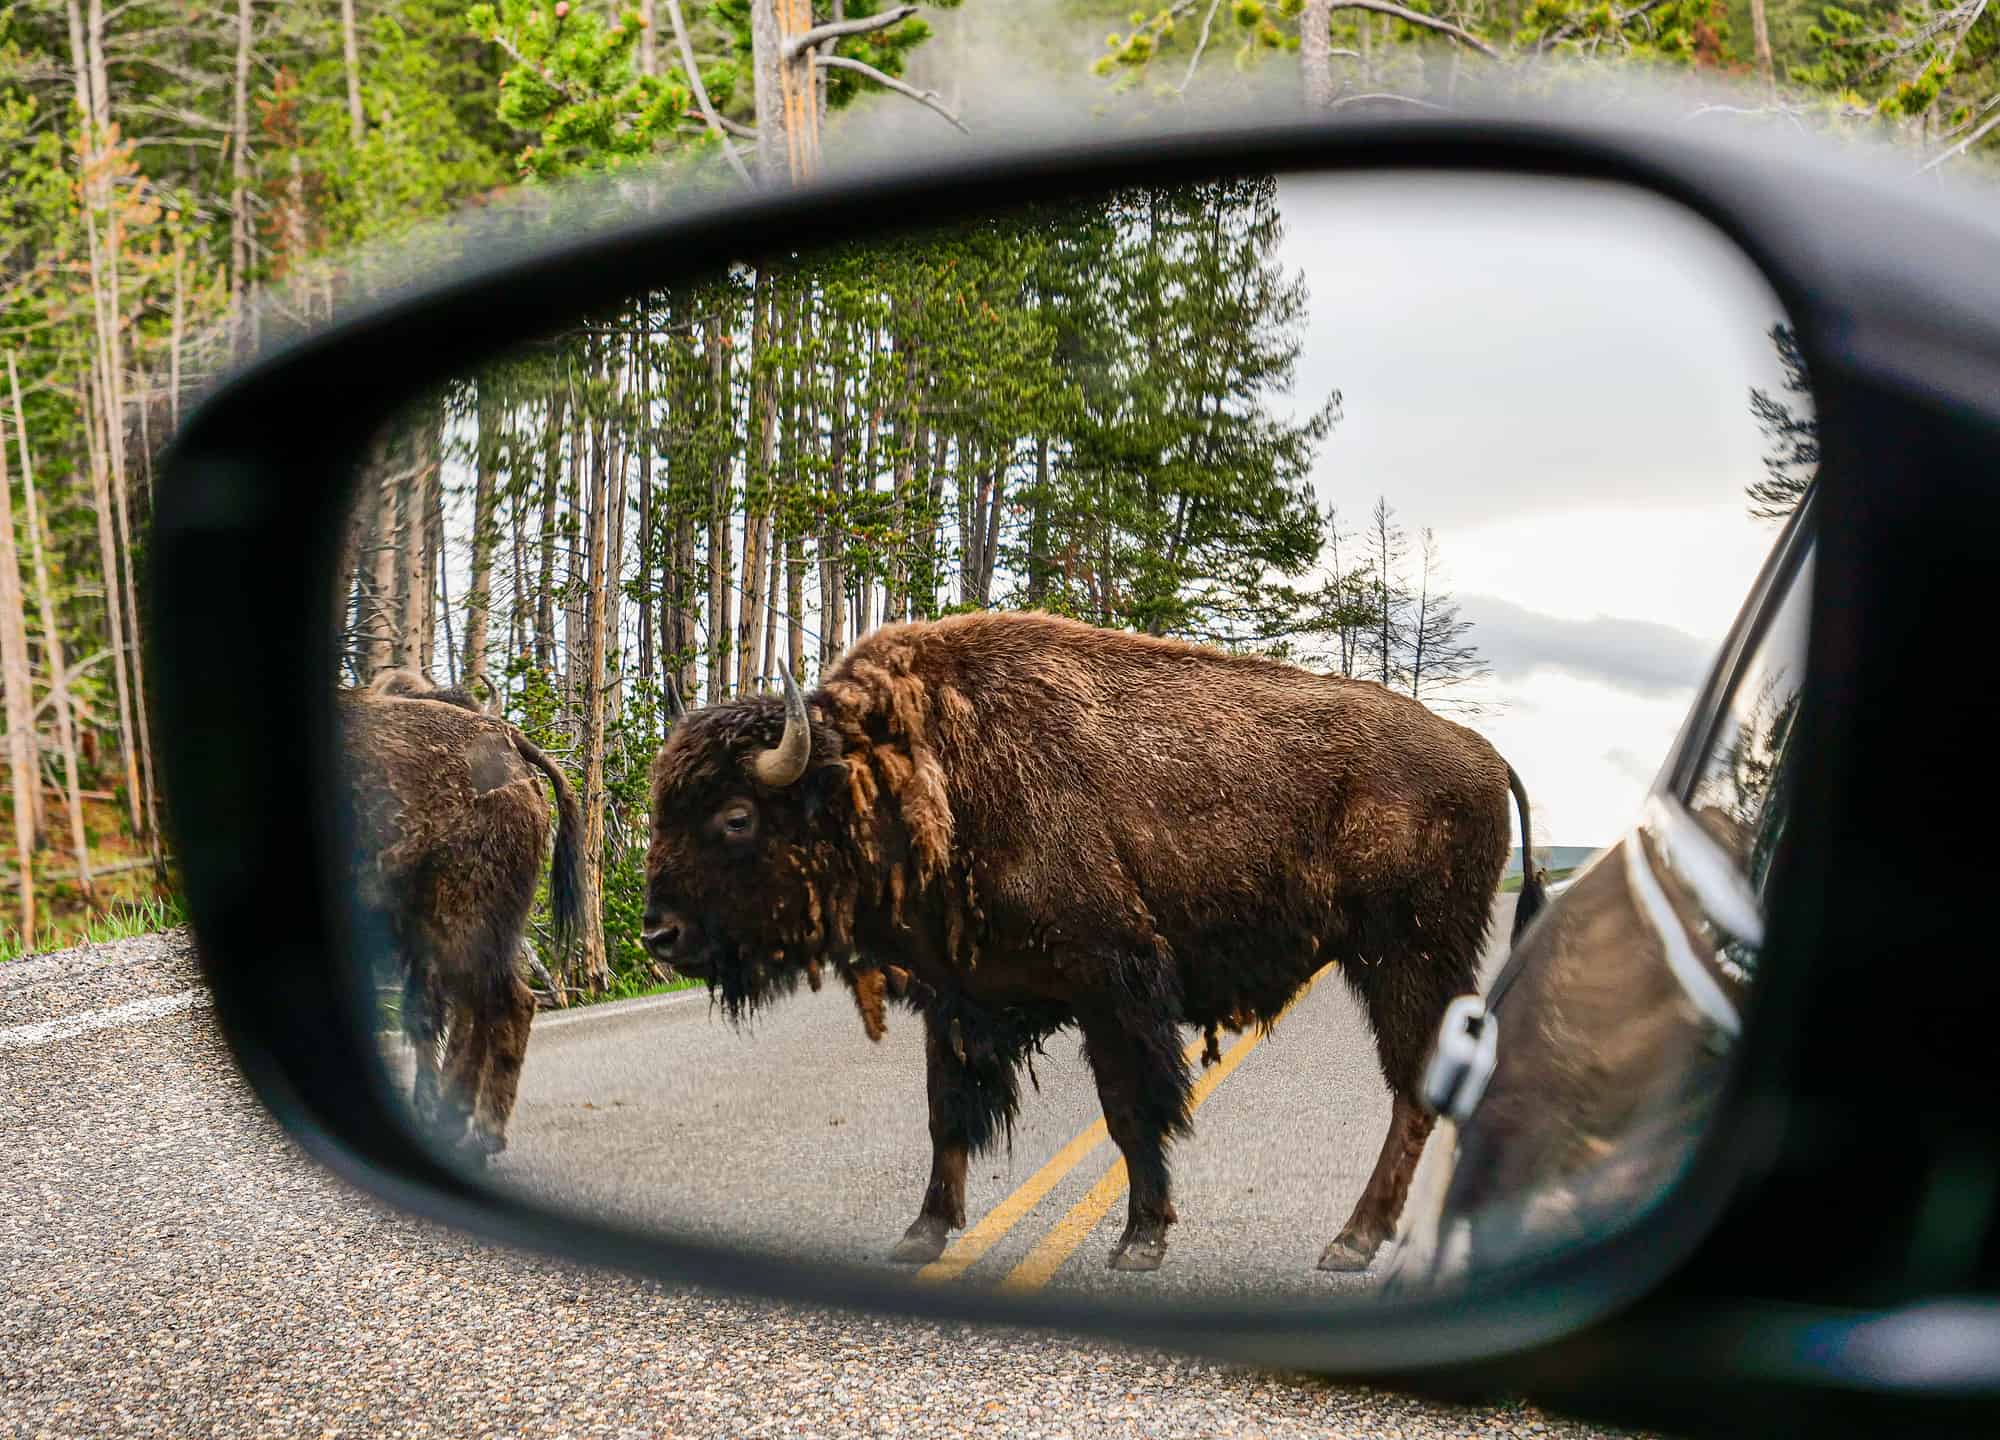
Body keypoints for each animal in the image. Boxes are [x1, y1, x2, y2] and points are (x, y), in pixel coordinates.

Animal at [338, 672, 580, 1160]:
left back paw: (480, 1133)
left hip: (462, 921)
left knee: (507, 1004)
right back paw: (455, 1121)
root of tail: (508, 739)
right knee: (478, 1007)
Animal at [640, 608, 1544, 1272]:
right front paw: (922, 1233)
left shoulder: (1113, 987)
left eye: (736, 816)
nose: (658, 933)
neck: (900, 769)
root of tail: (1486, 755)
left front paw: (1140, 1240)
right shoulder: (957, 997)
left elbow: (1130, 1110)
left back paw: (1351, 1242)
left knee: (1414, 1089)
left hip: (1407, 960)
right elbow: (947, 1114)